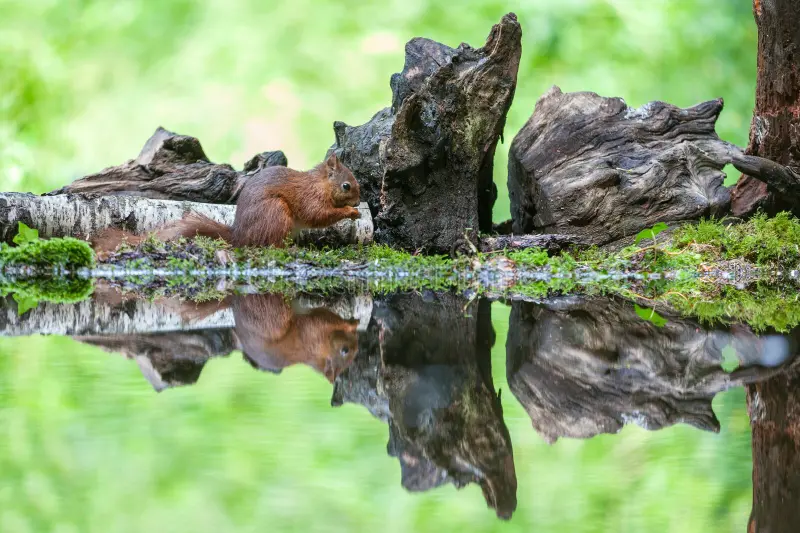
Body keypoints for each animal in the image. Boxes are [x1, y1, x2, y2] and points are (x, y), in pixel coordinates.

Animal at [91, 153, 361, 253]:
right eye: (346, 186)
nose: (359, 202)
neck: (321, 184)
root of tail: (240, 235)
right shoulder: (310, 198)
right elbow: (318, 214)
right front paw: (350, 212)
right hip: (276, 212)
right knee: (269, 245)